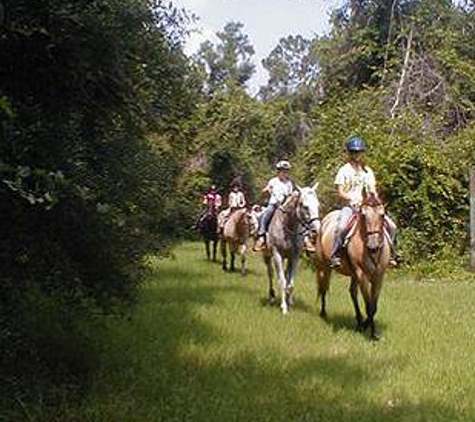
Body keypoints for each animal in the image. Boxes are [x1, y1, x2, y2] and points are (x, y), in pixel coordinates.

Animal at [262, 183, 322, 314]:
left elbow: (290, 283)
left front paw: (289, 302)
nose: (316, 230)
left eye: (318, 205)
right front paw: (284, 307)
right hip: (267, 256)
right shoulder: (277, 255)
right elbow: (282, 281)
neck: (288, 225)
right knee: (270, 274)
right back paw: (272, 297)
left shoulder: (294, 256)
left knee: (286, 274)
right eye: (305, 206)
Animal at [316, 193, 390, 342]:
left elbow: (374, 307)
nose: (373, 246)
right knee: (323, 287)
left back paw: (359, 322)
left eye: (383, 215)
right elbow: (369, 306)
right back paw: (323, 313)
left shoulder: (379, 277)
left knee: (352, 293)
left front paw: (367, 327)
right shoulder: (362, 275)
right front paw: (372, 334)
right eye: (363, 215)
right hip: (324, 267)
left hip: (353, 274)